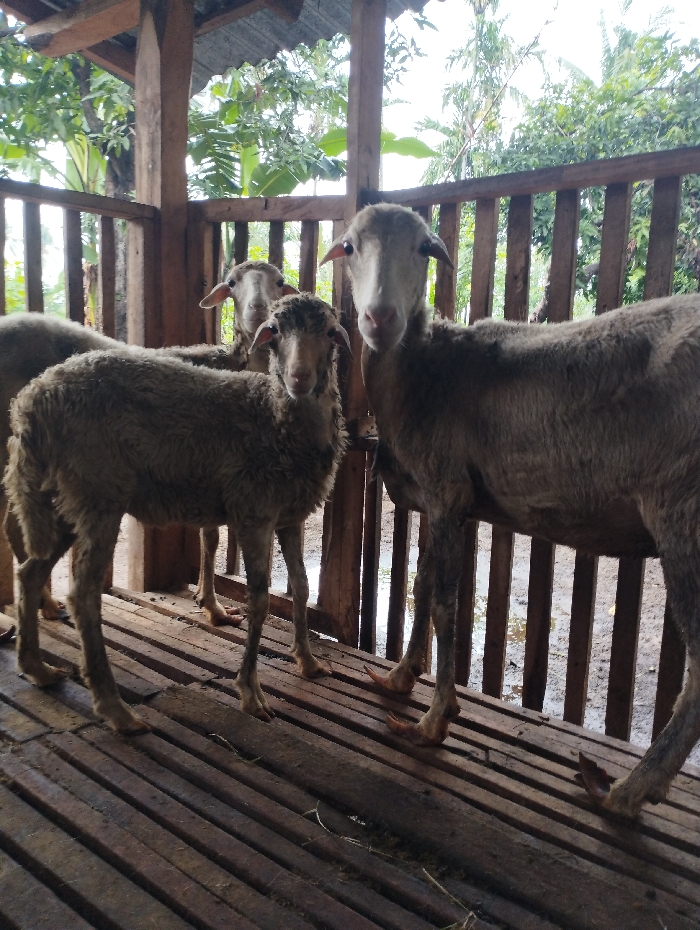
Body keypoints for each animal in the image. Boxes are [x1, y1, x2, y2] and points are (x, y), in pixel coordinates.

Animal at [4, 293, 349, 733]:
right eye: (274, 332)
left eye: (329, 332)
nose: (299, 378)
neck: (275, 414)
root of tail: (33, 399)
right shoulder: (253, 511)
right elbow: (259, 600)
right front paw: (250, 693)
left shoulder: (290, 516)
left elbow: (302, 588)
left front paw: (307, 662)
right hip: (99, 493)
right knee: (83, 595)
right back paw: (115, 708)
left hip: (64, 499)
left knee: (30, 573)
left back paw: (38, 667)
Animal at [322, 201, 700, 819]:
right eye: (350, 248)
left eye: (424, 249)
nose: (379, 318)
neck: (424, 371)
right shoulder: (444, 501)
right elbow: (421, 586)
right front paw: (401, 678)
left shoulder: (447, 490)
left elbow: (447, 604)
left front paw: (433, 721)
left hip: (682, 511)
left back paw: (630, 790)